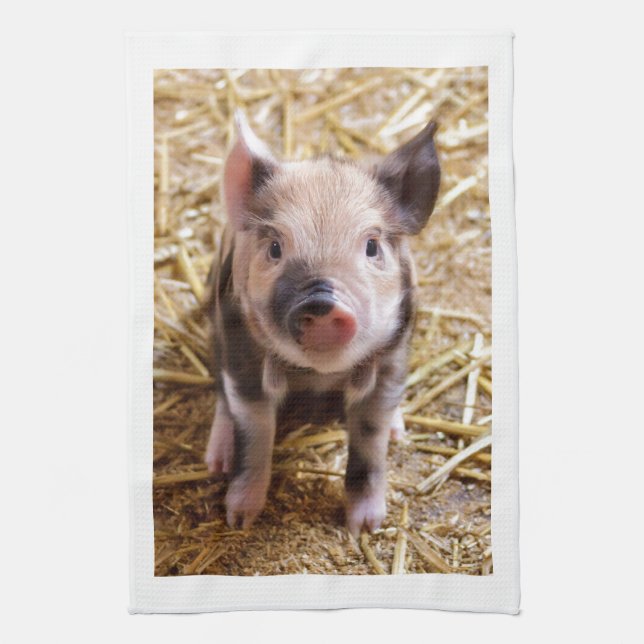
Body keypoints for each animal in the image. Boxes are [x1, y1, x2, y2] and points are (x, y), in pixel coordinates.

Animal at [204, 110, 440, 536]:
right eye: (275, 247)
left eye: (372, 246)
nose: (321, 300)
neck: (317, 376)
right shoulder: (240, 351)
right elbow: (255, 432)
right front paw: (239, 519)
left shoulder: (392, 358)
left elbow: (371, 439)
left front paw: (366, 527)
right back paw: (216, 462)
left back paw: (399, 432)